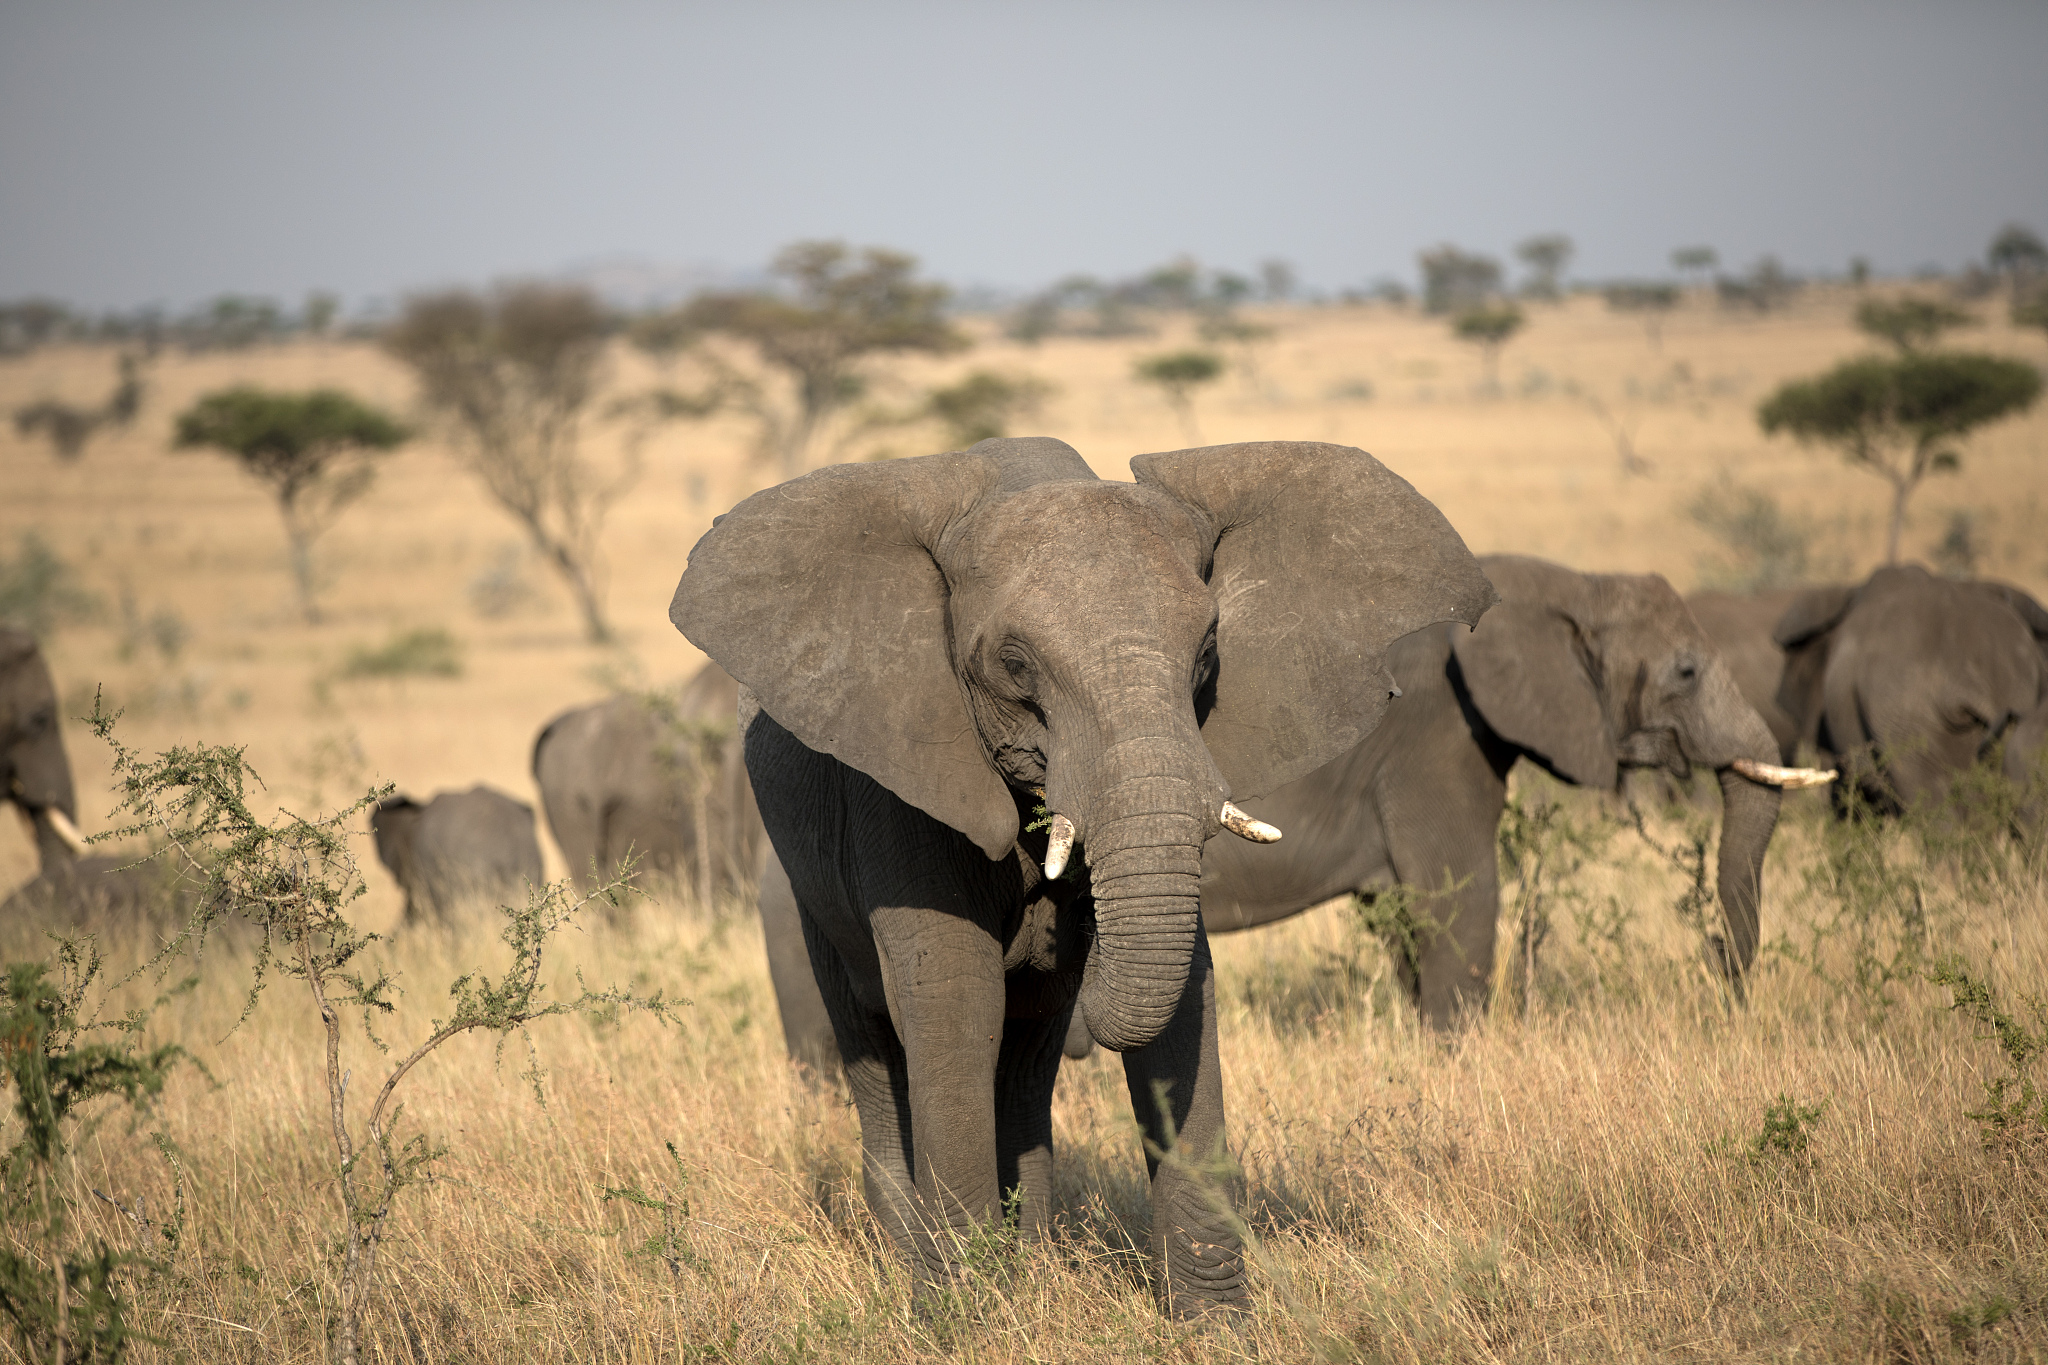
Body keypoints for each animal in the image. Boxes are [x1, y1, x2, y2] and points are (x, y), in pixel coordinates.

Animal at [670, 436, 1494, 1315]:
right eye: (1015, 663)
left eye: (1208, 652)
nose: (1062, 927)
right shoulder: (901, 770)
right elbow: (953, 994)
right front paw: (967, 1317)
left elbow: (1183, 991)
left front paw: (1214, 1327)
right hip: (804, 888)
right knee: (873, 1037)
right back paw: (918, 1259)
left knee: (1026, 1053)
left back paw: (1025, 1261)